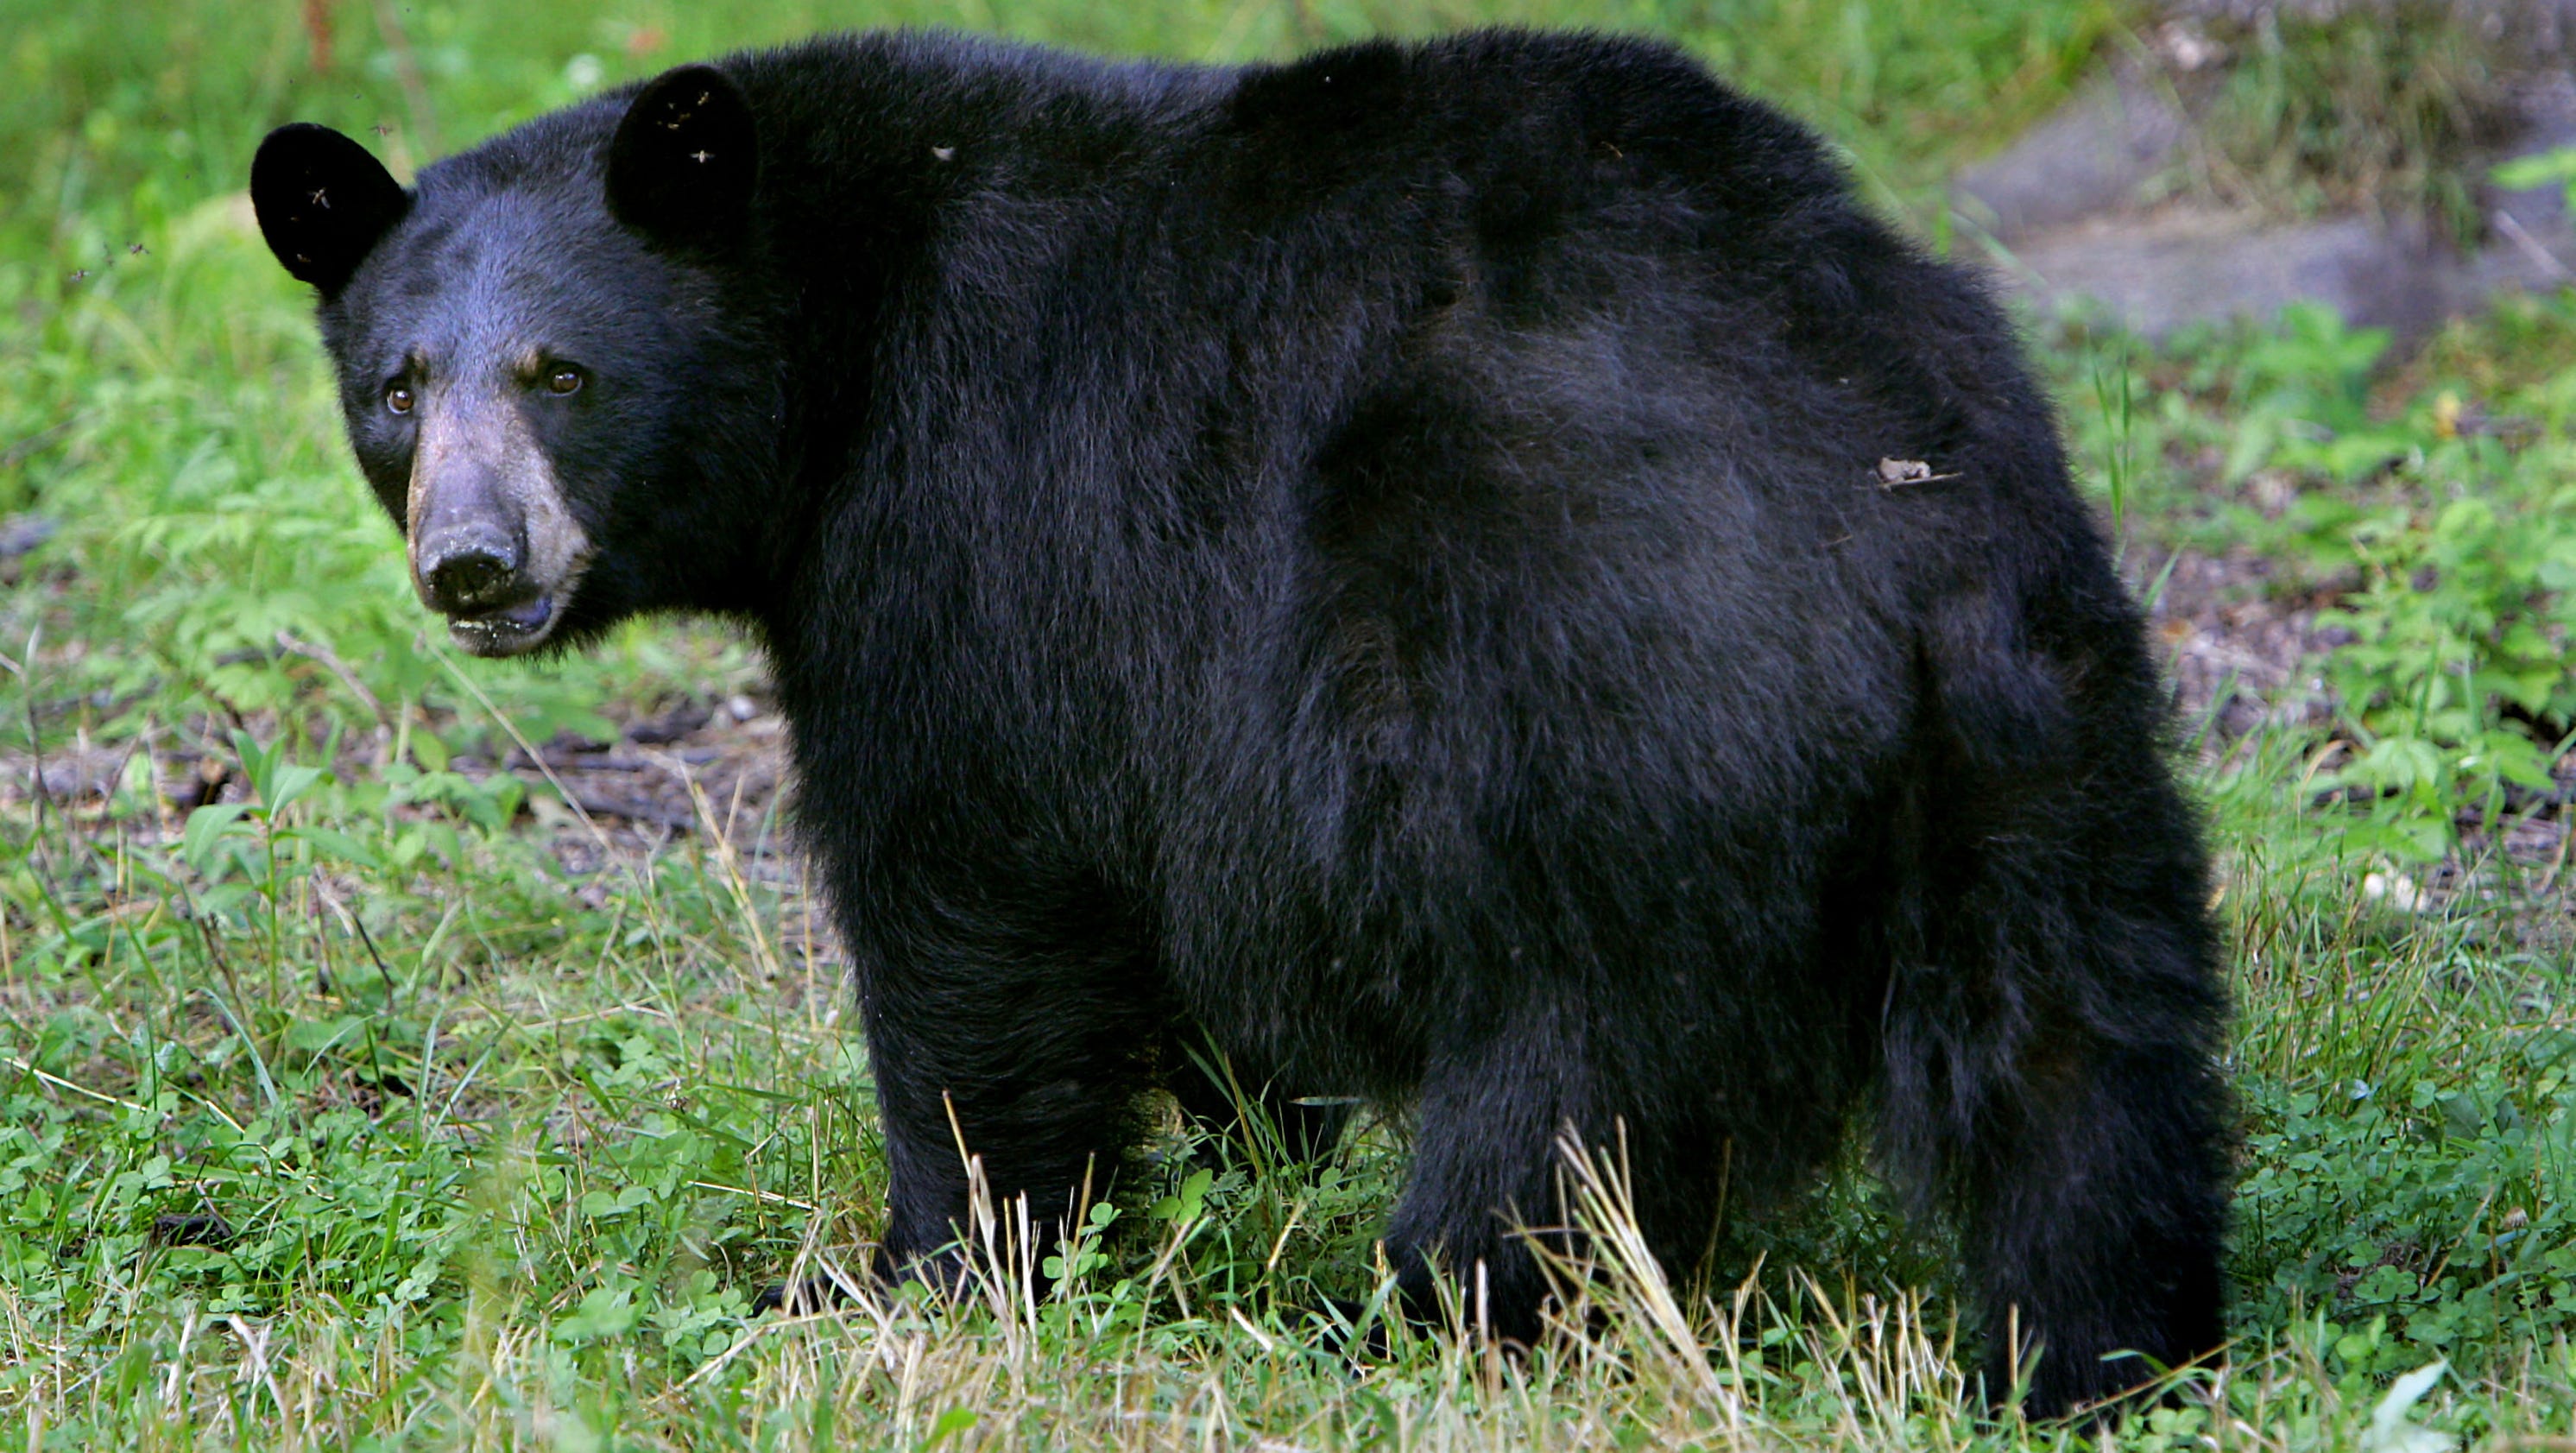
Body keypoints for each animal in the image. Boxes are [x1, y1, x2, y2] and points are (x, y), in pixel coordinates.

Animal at [251, 28, 2232, 1417]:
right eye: (396, 386)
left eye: (561, 372)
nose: (473, 561)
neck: (830, 343)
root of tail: (1875, 508)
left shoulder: (971, 542)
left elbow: (965, 911)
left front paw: (918, 1270)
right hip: (2039, 732)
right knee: (2080, 1058)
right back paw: (2096, 1351)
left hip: (1593, 722)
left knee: (1564, 1090)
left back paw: (1420, 1317)